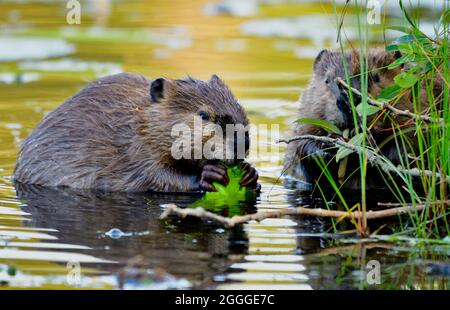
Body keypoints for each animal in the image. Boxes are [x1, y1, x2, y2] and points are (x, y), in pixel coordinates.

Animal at [14, 73, 260, 193]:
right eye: (203, 115)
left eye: (239, 107)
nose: (241, 144)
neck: (140, 122)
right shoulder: (135, 151)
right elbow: (157, 177)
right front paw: (208, 175)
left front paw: (250, 174)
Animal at [284, 48, 442, 190]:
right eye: (327, 81)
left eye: (376, 78)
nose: (349, 100)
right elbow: (302, 147)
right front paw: (327, 146)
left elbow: (409, 146)